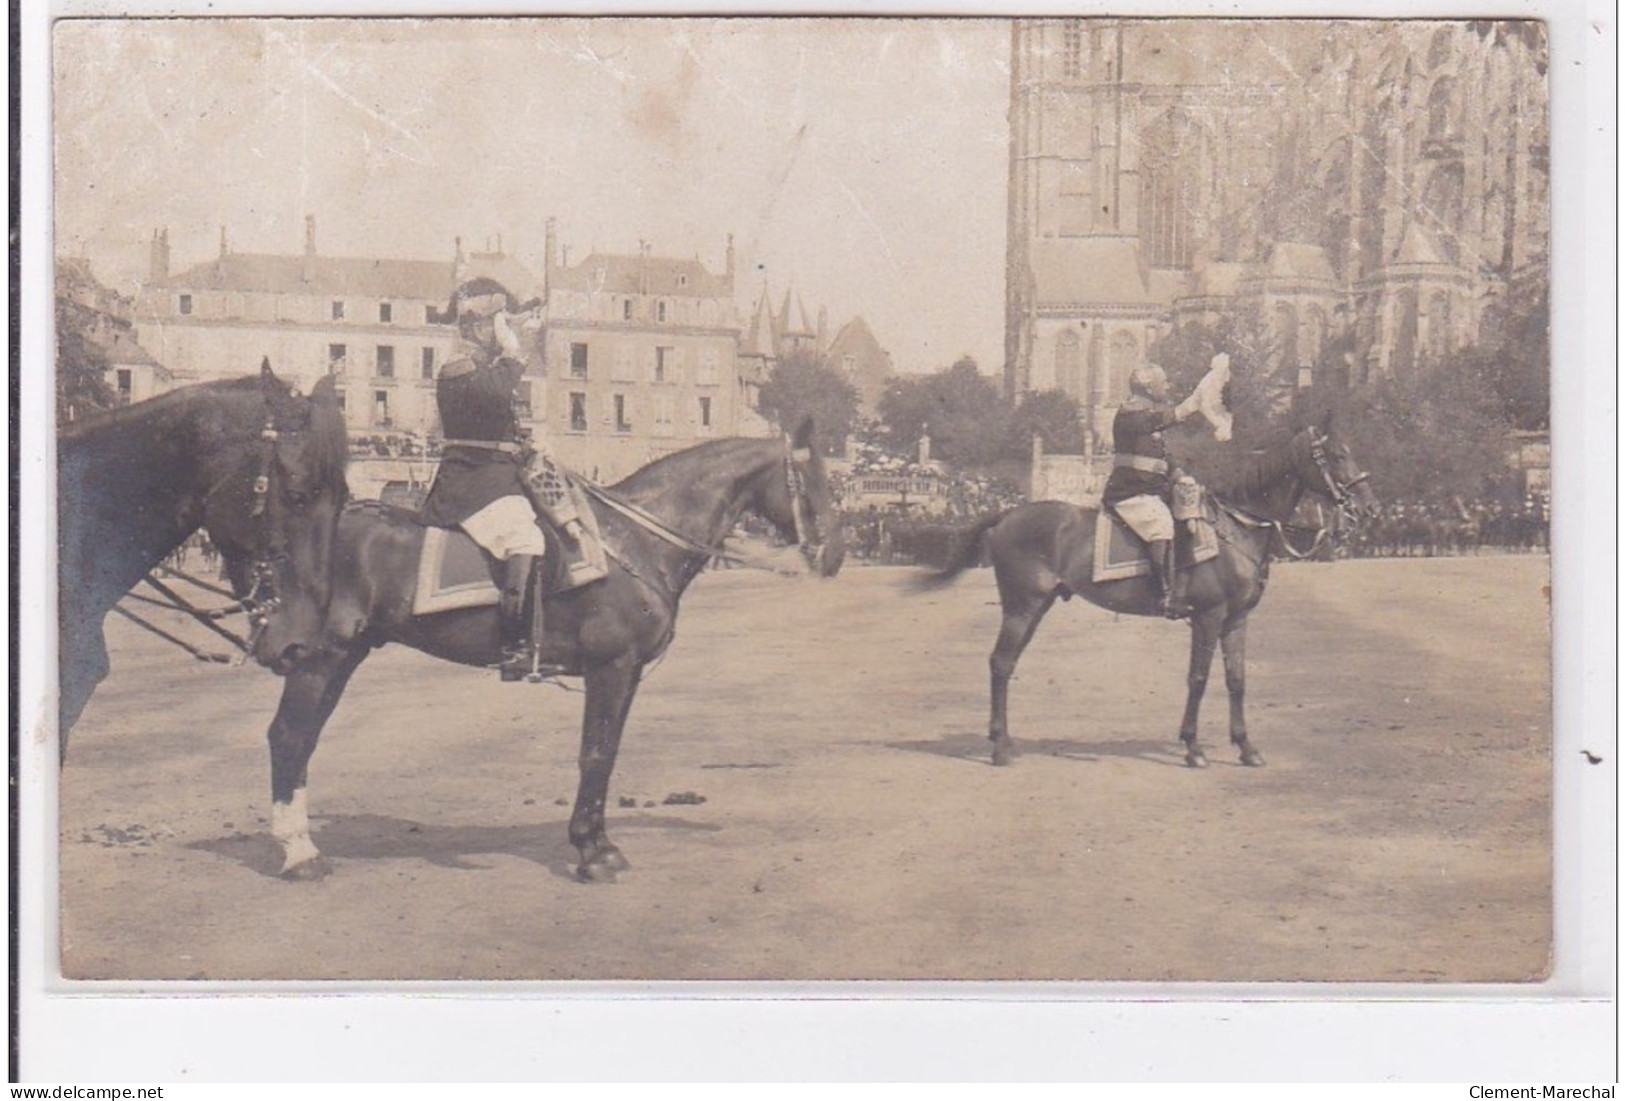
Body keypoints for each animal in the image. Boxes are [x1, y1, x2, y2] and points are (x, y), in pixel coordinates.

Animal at [923, 418, 1378, 772]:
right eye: (1337, 455)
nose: (1367, 508)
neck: (1238, 527)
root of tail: (1008, 514)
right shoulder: (1209, 617)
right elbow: (1198, 678)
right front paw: (1193, 747)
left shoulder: (1236, 620)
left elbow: (1236, 679)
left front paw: (1246, 747)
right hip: (1022, 606)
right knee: (1000, 663)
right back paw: (999, 747)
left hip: (1037, 606)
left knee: (1006, 663)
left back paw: (1004, 740)